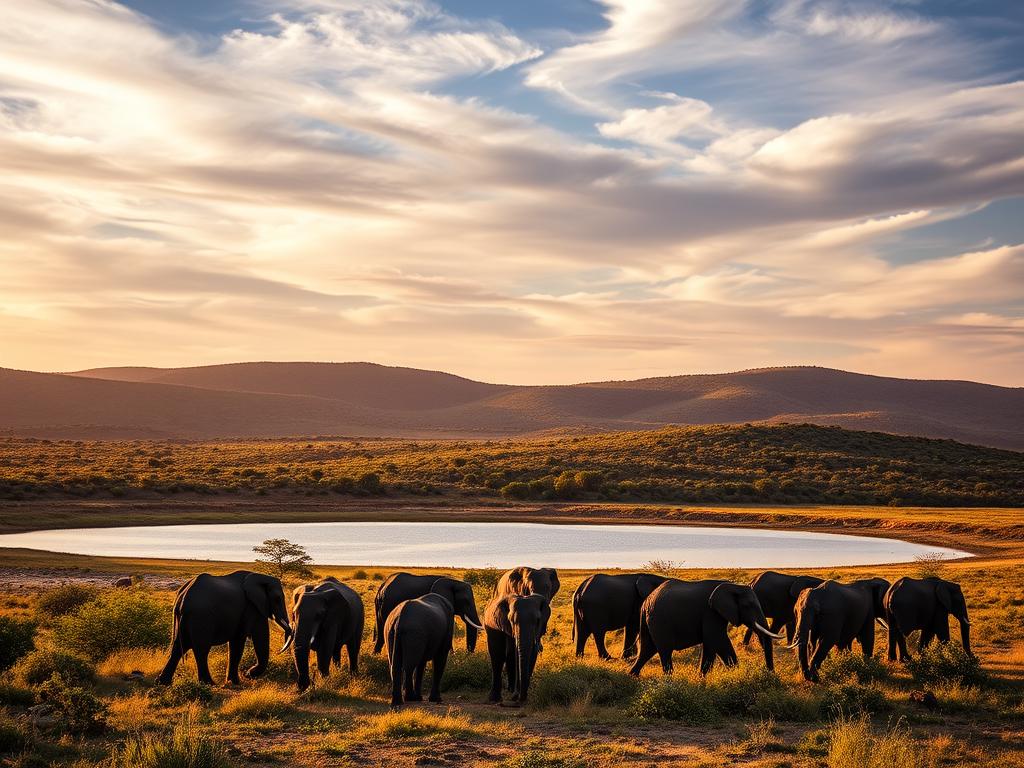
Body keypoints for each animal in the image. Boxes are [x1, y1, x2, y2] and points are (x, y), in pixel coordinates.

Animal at [157, 570, 292, 686]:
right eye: (278, 599)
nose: (247, 673)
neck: (261, 577)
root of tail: (182, 598)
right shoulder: (251, 607)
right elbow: (240, 640)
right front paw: (237, 681)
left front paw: (234, 681)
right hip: (201, 618)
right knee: (201, 650)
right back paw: (209, 684)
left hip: (185, 620)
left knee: (178, 647)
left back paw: (162, 683)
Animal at [628, 579, 783, 677]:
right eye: (748, 605)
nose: (770, 674)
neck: (731, 585)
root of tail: (647, 601)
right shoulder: (711, 613)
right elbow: (714, 641)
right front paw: (701, 680)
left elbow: (722, 645)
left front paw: (737, 673)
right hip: (659, 622)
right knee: (664, 650)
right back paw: (670, 681)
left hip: (649, 620)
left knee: (647, 650)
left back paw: (632, 676)